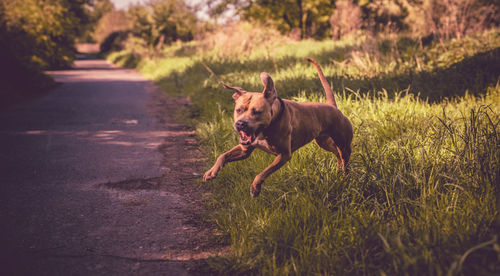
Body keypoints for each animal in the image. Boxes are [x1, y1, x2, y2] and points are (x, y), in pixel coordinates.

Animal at [202, 57, 352, 196]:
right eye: (238, 110)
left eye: (256, 112)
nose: (240, 123)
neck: (267, 127)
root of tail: (332, 106)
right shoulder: (244, 150)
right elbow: (222, 155)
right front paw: (211, 171)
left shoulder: (284, 155)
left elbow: (262, 173)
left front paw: (255, 188)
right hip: (323, 141)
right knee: (336, 153)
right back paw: (339, 171)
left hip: (343, 144)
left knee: (344, 159)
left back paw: (345, 179)